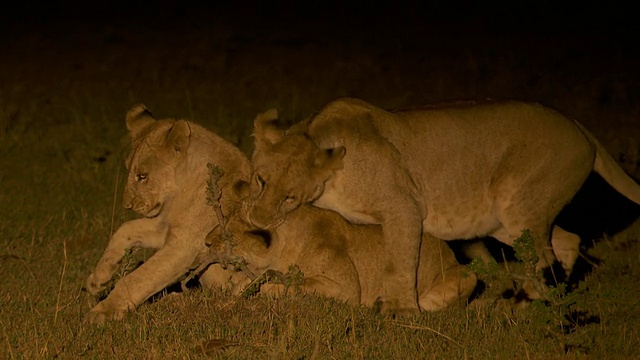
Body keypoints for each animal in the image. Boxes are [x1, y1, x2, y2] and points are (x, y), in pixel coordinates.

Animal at [246, 98, 640, 316]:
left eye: (290, 198)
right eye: (260, 180)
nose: (258, 220)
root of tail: (579, 127)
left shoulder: (404, 207)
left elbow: (400, 262)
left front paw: (401, 310)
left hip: (519, 207)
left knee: (542, 259)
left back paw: (521, 307)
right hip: (508, 222)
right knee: (568, 241)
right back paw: (550, 302)